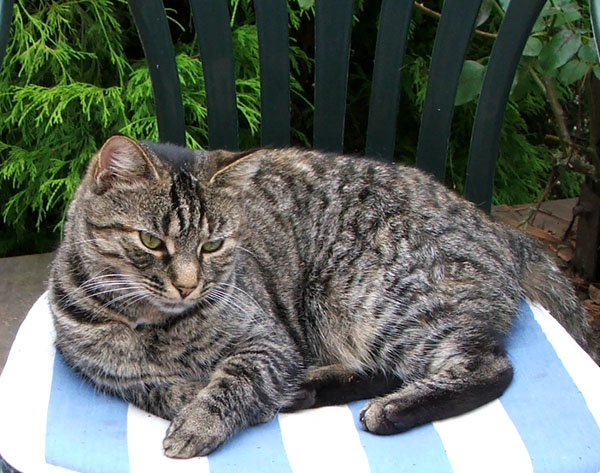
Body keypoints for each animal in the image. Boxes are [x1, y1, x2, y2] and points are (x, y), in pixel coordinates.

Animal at [48, 136, 596, 458]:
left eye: (212, 245)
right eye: (151, 241)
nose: (188, 283)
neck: (153, 324)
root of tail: (497, 227)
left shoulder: (268, 341)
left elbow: (233, 380)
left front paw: (201, 421)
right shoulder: (115, 378)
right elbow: (161, 390)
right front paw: (193, 399)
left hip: (380, 300)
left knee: (489, 367)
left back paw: (389, 410)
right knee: (386, 371)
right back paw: (311, 388)